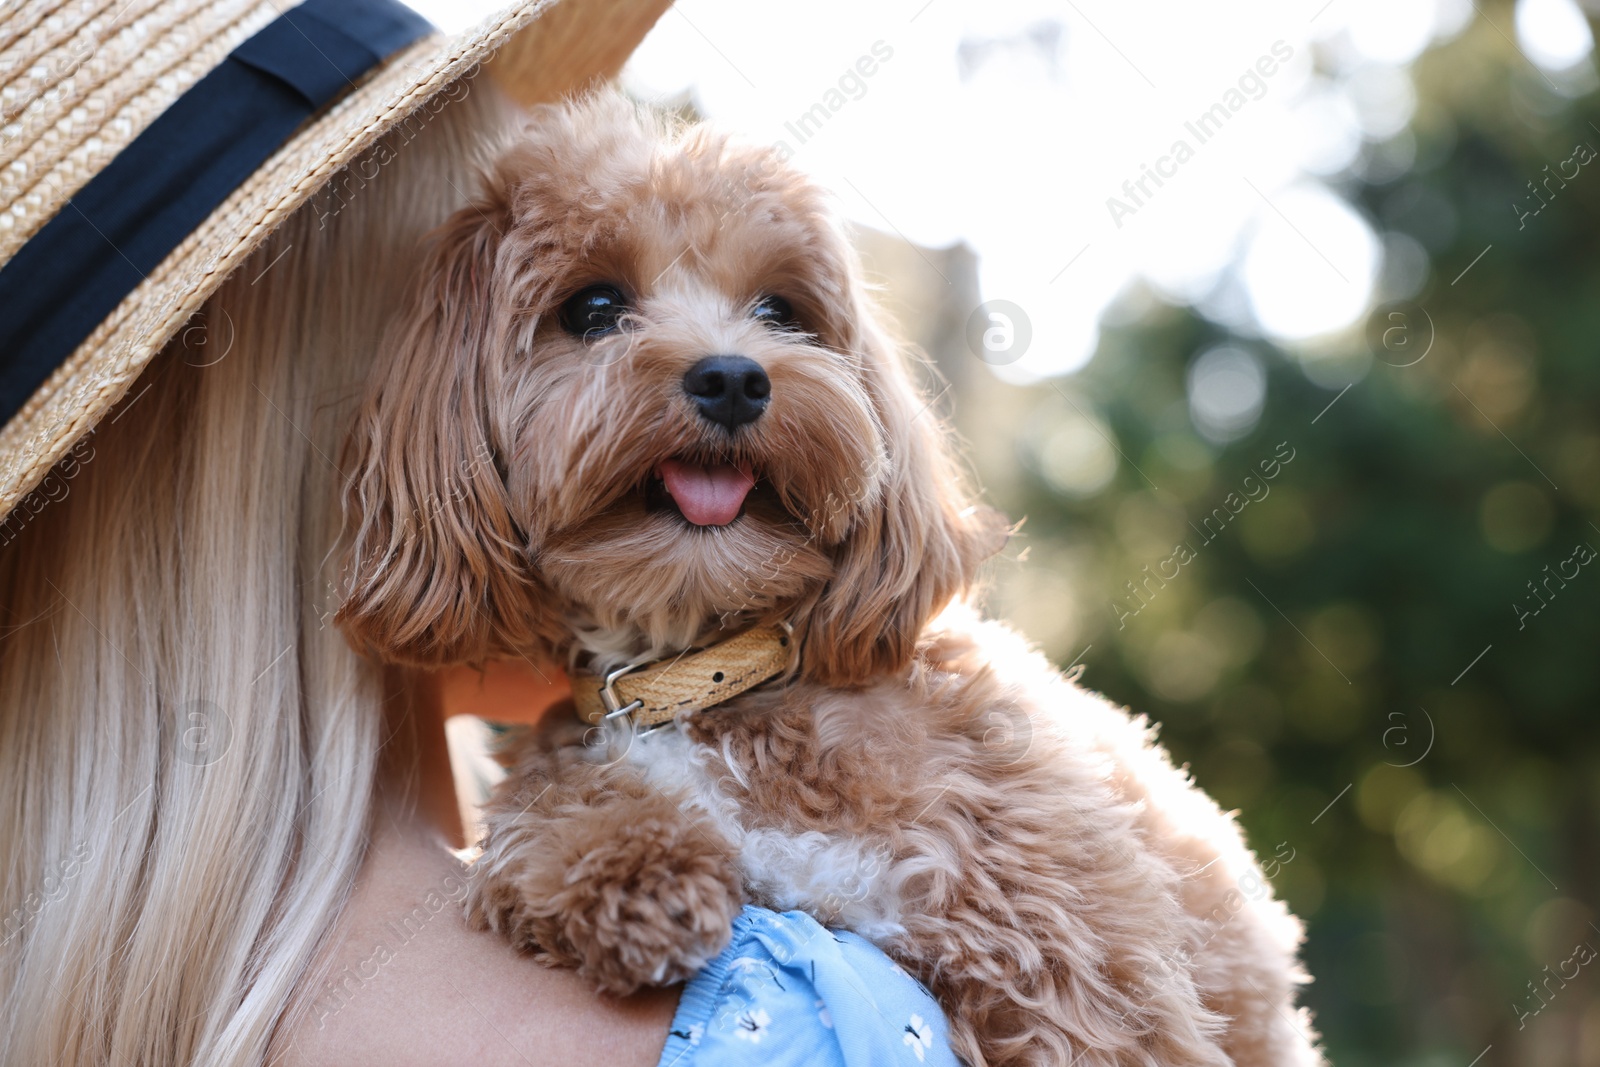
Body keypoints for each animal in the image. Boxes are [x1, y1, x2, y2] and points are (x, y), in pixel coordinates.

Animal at [331, 93, 1318, 1067]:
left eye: (780, 309)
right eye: (594, 306)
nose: (733, 377)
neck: (704, 672)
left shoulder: (1082, 960)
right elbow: (540, 812)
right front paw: (629, 874)